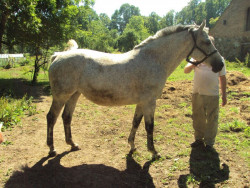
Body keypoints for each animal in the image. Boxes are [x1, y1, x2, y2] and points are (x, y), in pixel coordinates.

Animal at [47, 20, 225, 159]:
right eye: (207, 42)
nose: (220, 64)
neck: (153, 59)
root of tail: (57, 56)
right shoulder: (149, 102)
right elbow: (149, 126)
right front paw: (153, 152)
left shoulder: (142, 102)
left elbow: (136, 123)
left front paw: (132, 146)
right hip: (61, 96)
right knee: (51, 118)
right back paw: (52, 149)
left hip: (74, 95)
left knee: (66, 117)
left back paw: (72, 144)